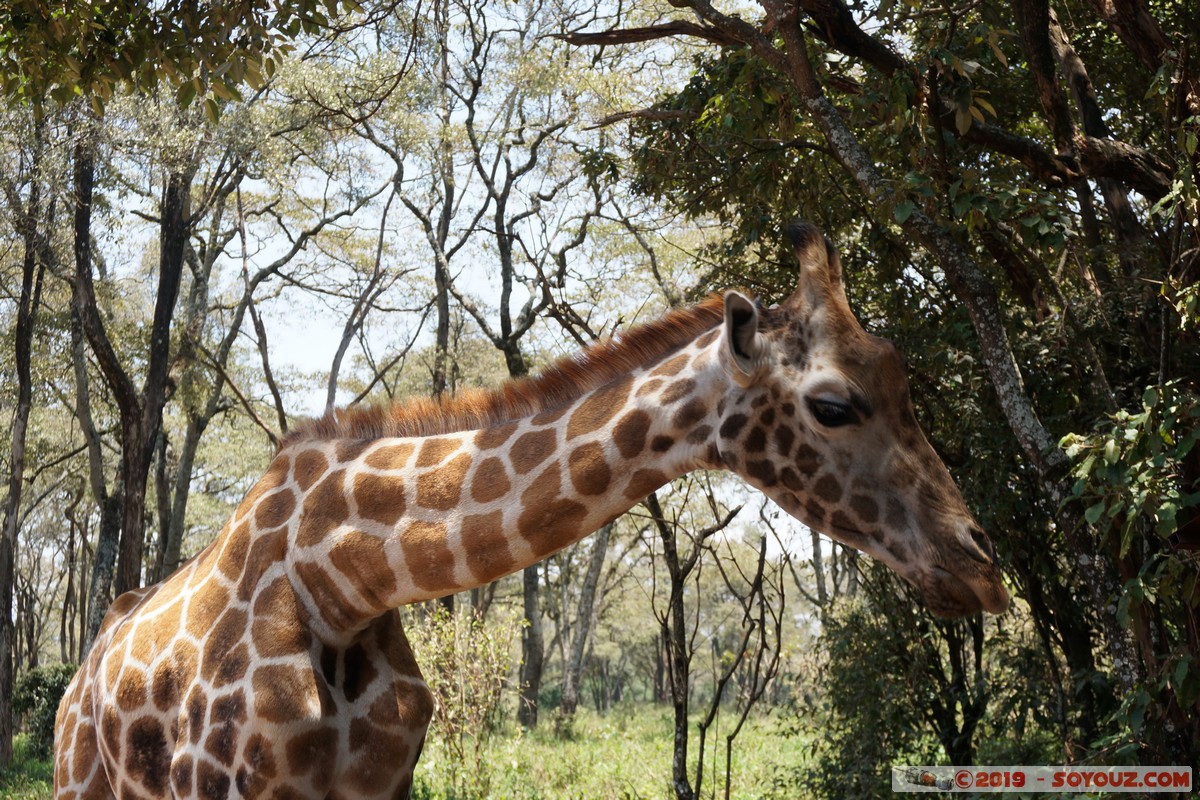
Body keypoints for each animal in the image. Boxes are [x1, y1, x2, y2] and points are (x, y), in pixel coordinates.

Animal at [54, 222, 1009, 799]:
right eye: (834, 404)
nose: (981, 565)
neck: (343, 581)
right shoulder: (222, 784)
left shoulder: (380, 783)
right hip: (81, 781)